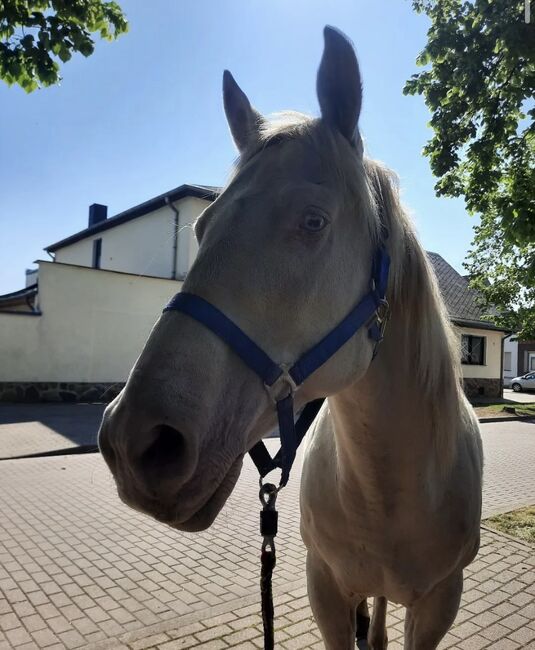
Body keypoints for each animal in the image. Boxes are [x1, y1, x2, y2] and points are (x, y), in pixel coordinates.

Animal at [98, 26, 484, 648]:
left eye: (313, 221)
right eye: (201, 228)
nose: (135, 442)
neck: (389, 487)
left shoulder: (438, 605)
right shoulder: (324, 590)